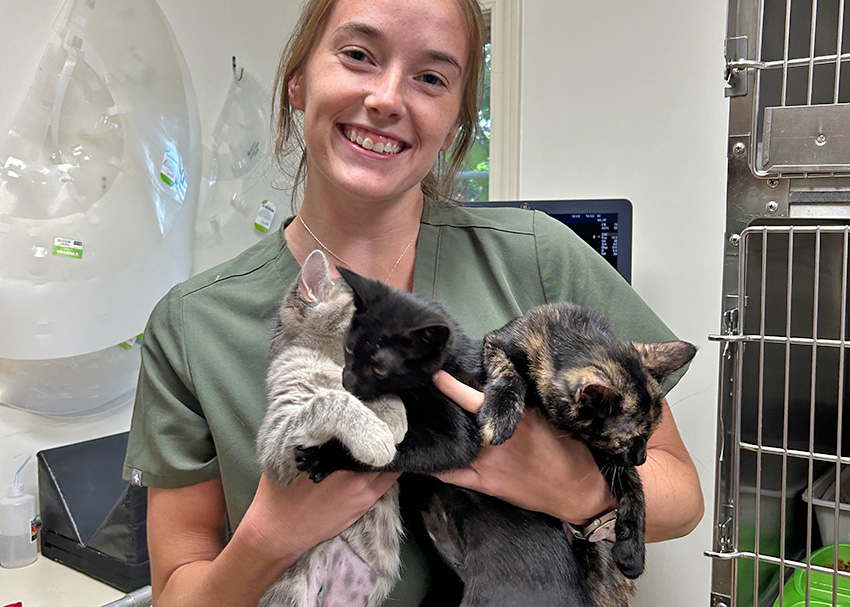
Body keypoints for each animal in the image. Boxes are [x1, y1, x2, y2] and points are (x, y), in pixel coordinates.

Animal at [255, 249, 408, 604]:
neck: (330, 360)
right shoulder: (275, 441)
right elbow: (330, 399)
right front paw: (374, 435)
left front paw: (394, 412)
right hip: (292, 590)